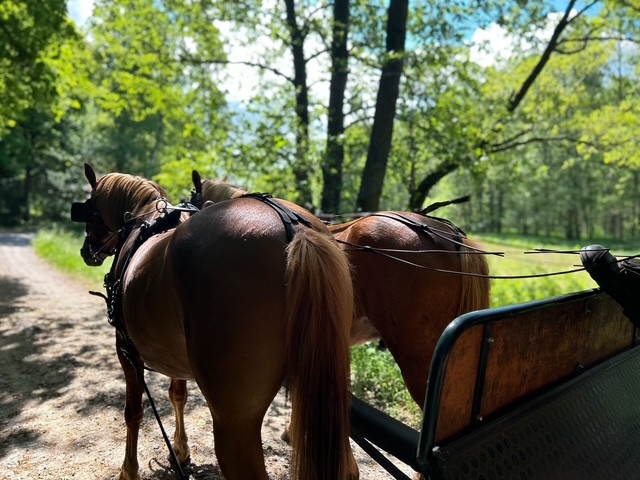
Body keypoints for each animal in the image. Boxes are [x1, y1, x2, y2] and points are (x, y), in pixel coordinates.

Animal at [71, 164, 357, 480]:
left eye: (89, 208)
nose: (86, 251)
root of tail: (294, 226)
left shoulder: (126, 352)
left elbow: (133, 412)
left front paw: (128, 471)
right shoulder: (176, 356)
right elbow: (178, 394)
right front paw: (180, 451)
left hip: (233, 422)